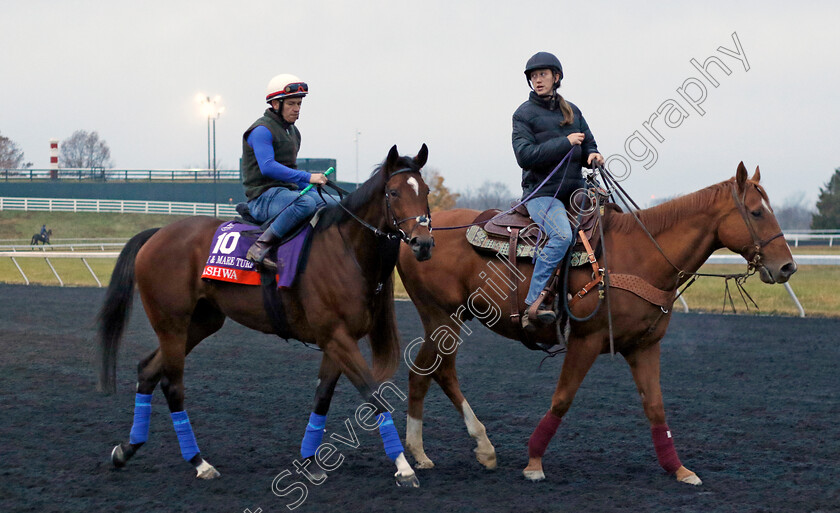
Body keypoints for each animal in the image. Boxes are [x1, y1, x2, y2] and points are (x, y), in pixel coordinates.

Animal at [98, 144, 434, 484]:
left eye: (426, 191)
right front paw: (403, 465)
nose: (423, 243)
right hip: (172, 324)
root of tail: (155, 234)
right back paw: (198, 462)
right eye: (393, 192)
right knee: (172, 384)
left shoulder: (336, 340)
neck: (346, 250)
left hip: (201, 322)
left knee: (148, 370)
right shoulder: (337, 337)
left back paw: (127, 449)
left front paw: (309, 460)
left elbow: (322, 397)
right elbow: (374, 395)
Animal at [398, 163, 796, 484]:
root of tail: (418, 235)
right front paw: (534, 463)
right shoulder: (585, 340)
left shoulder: (644, 346)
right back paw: (457, 448)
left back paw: (438, 451)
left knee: (429, 372)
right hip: (442, 316)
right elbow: (562, 399)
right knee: (433, 371)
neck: (642, 255)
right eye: (757, 212)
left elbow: (655, 407)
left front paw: (679, 469)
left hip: (446, 319)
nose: (787, 267)